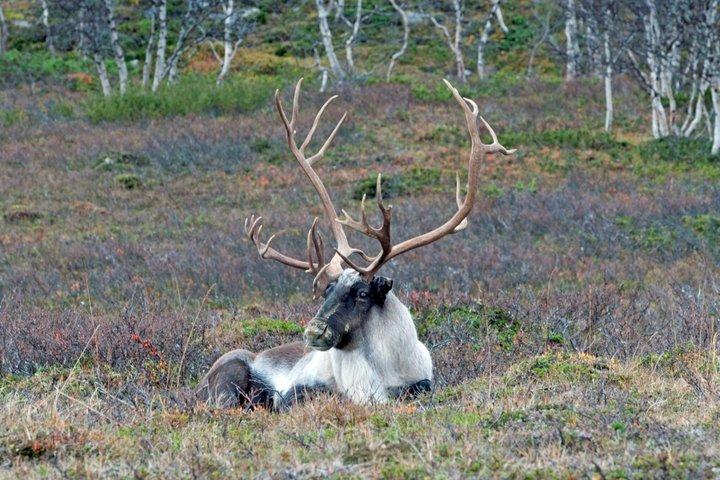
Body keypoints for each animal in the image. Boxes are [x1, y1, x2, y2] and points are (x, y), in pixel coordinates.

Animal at [196, 78, 515, 409]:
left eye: (362, 293)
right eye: (327, 289)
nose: (314, 331)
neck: (386, 374)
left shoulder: (422, 380)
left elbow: (423, 387)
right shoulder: (301, 389)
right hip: (229, 375)